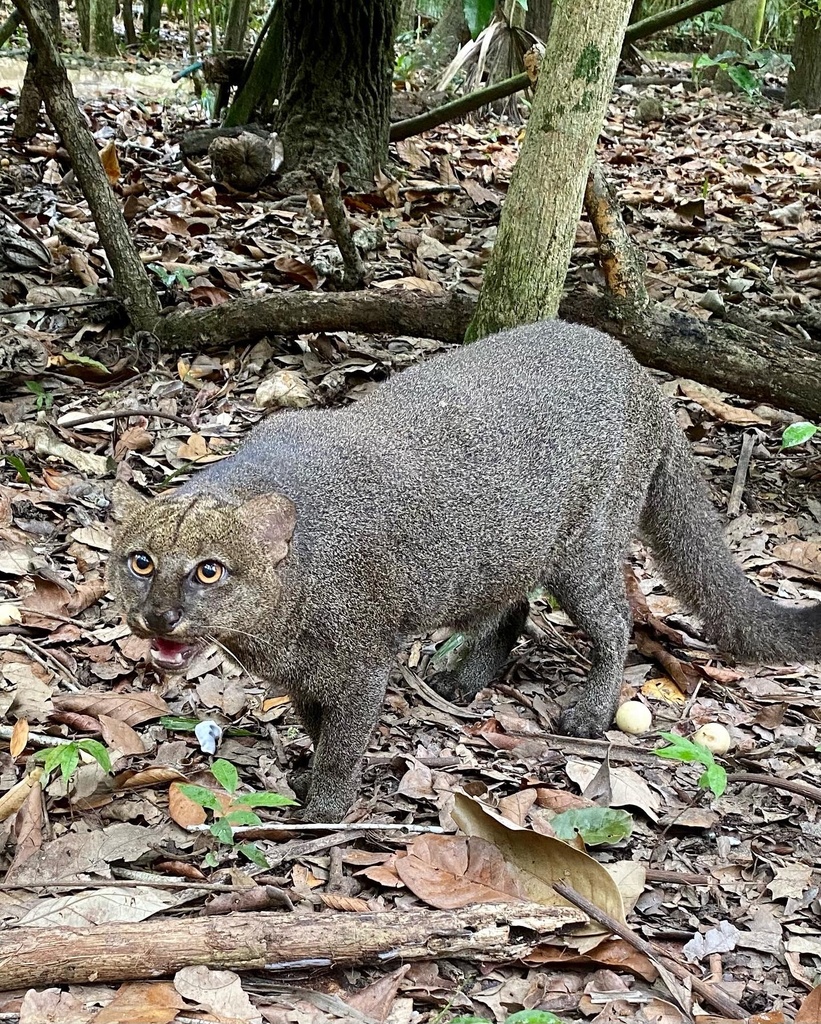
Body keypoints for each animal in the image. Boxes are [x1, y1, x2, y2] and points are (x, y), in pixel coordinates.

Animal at [106, 319, 818, 815]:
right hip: (501, 553)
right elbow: (317, 726)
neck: (276, 622)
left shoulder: (361, 666)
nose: (158, 616)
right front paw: (308, 776)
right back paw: (464, 680)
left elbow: (343, 740)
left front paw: (325, 804)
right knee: (513, 609)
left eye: (209, 570)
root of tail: (638, 372)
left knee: (615, 625)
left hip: (583, 552)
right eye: (140, 562)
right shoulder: (310, 677)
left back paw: (589, 710)